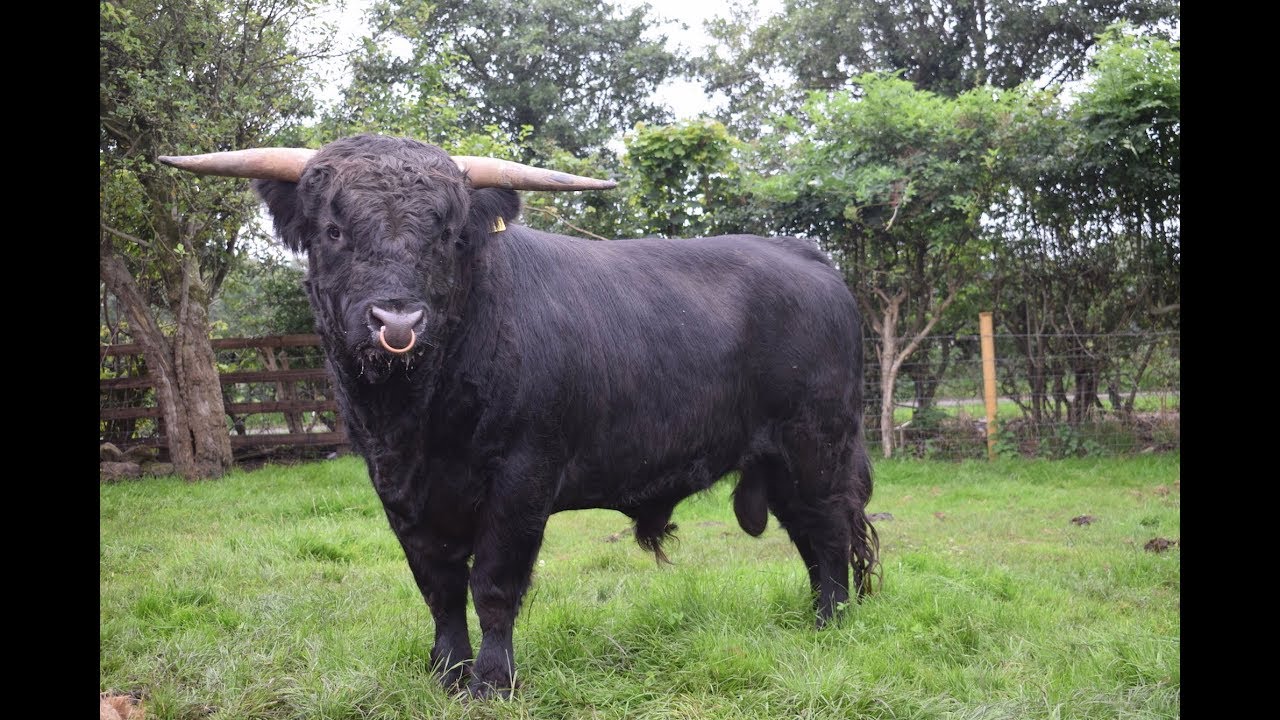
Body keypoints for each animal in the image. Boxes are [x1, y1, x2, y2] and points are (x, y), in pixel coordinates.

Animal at [160, 133, 880, 698]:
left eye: (449, 236)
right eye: (334, 231)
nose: (398, 321)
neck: (417, 417)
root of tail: (804, 255)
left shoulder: (522, 478)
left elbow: (494, 583)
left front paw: (490, 679)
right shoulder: (397, 489)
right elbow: (438, 585)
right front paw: (445, 671)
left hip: (816, 444)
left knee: (828, 533)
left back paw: (832, 624)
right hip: (782, 460)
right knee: (809, 536)